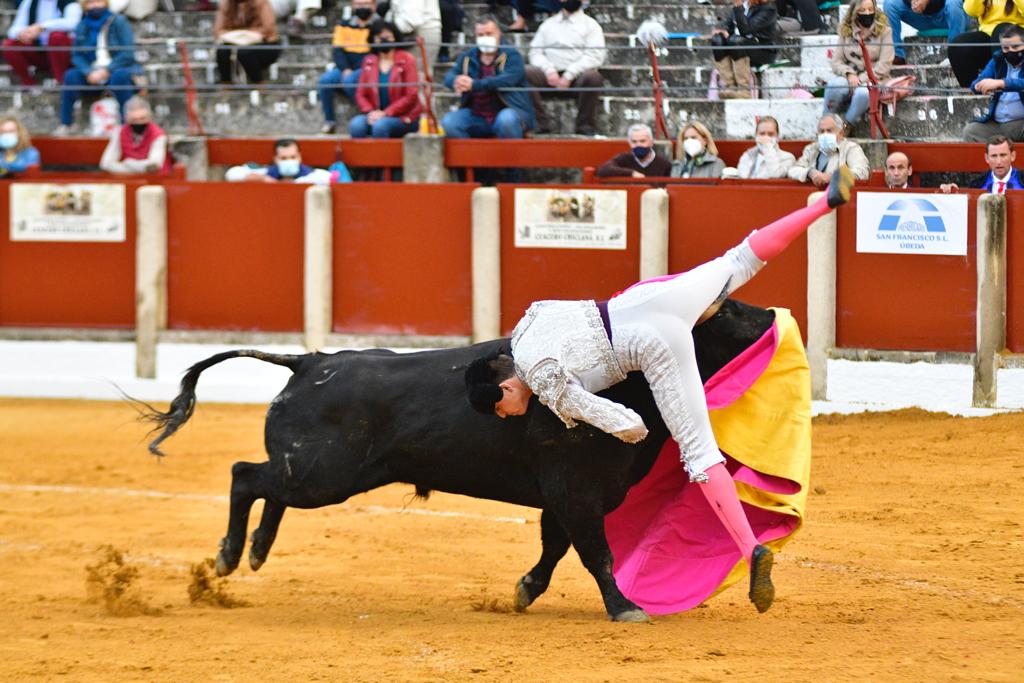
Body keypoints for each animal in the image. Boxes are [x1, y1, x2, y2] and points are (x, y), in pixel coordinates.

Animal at [138, 299, 777, 623]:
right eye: (731, 315)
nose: (774, 315)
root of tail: (309, 361)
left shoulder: (563, 498)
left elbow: (555, 549)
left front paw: (523, 592)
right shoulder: (574, 491)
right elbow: (596, 553)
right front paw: (625, 609)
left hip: (317, 476)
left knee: (268, 487)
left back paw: (255, 551)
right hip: (324, 475)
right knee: (246, 476)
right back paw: (228, 556)